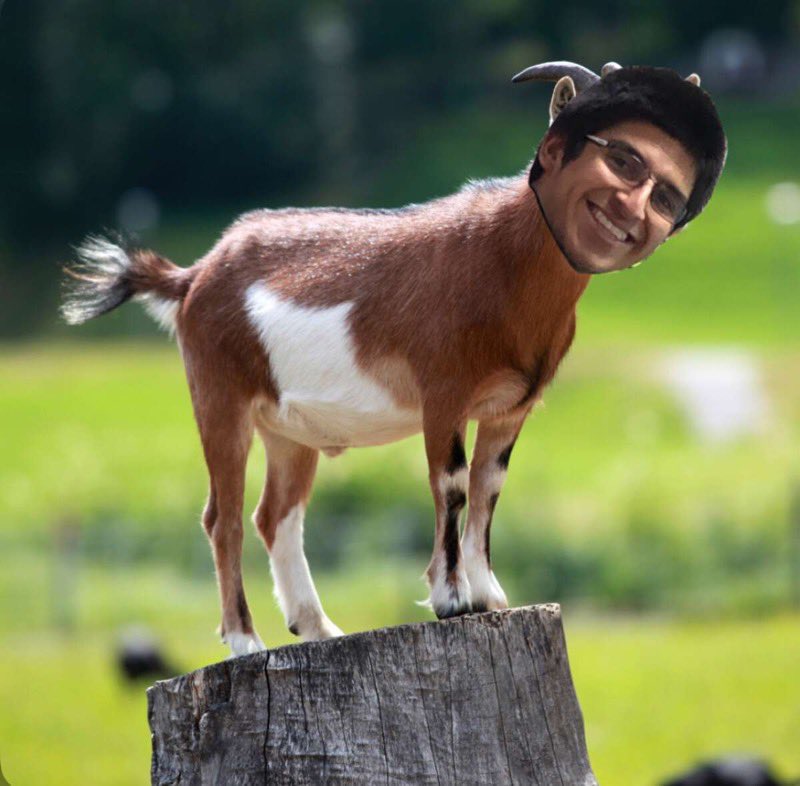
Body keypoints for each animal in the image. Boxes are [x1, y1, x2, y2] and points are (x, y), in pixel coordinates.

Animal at [62, 62, 650, 655]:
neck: (507, 260)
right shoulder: (444, 395)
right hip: (219, 397)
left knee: (274, 515)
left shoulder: (510, 408)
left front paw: (489, 596)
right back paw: (246, 640)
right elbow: (453, 484)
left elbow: (489, 487)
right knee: (222, 517)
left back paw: (318, 626)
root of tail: (192, 277)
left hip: (286, 430)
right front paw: (451, 600)